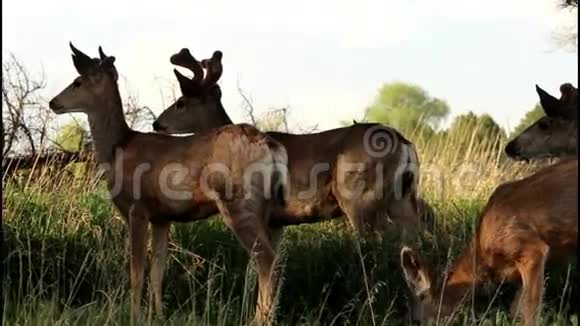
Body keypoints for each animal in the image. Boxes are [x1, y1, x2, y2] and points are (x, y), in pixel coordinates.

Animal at [48, 42, 288, 324]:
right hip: (265, 209)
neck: (119, 148)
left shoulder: (137, 209)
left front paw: (134, 316)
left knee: (267, 259)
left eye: (77, 82)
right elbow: (157, 271)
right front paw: (159, 315)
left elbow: (137, 271)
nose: (53, 102)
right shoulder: (162, 217)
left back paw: (260, 319)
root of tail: (269, 145)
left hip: (238, 201)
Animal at [153, 48, 426, 241]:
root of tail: (403, 142)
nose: (157, 123)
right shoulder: (277, 221)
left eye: (181, 103)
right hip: (403, 198)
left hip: (359, 197)